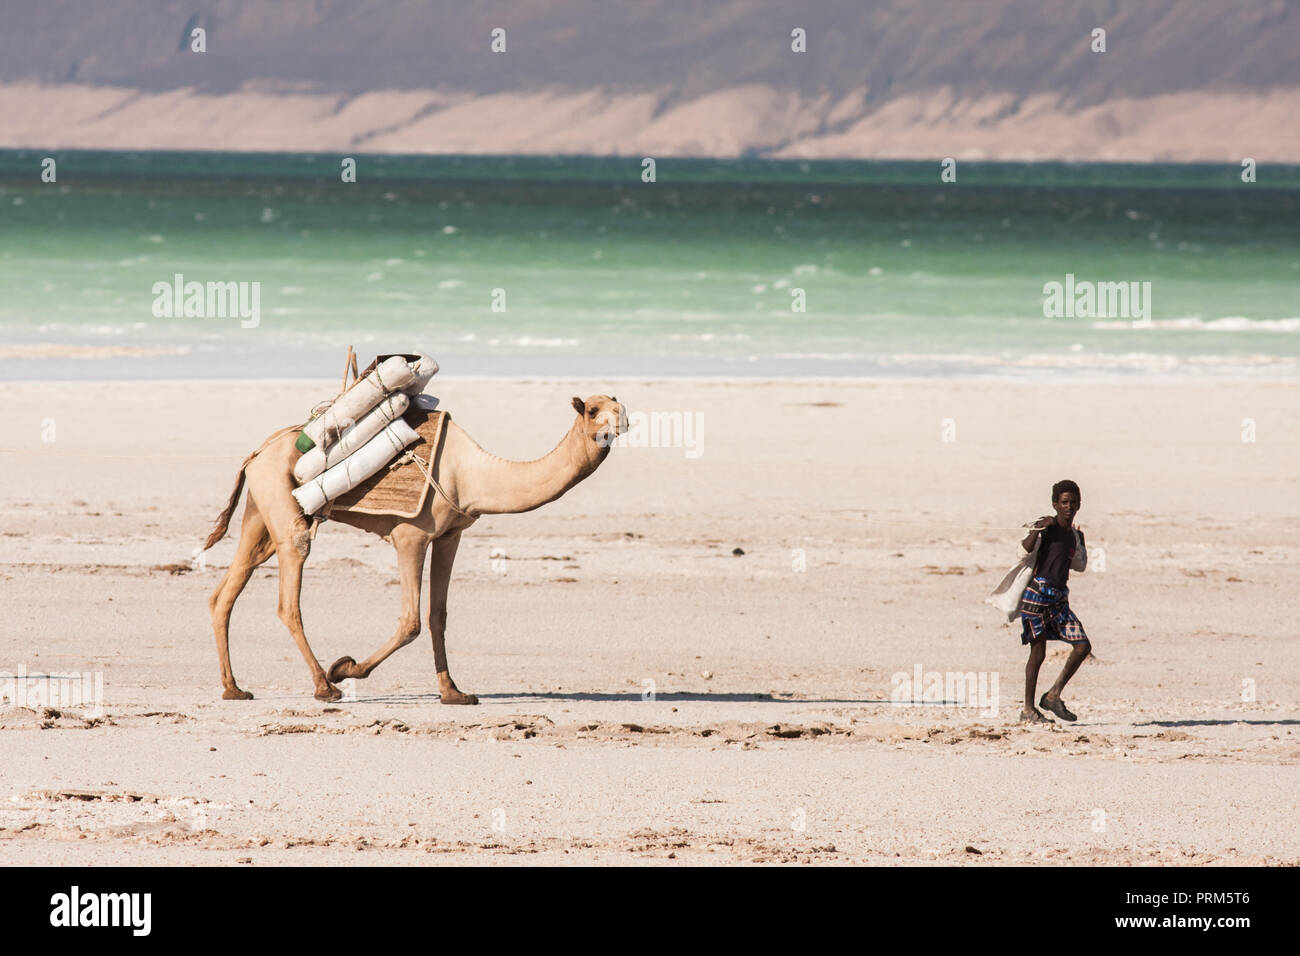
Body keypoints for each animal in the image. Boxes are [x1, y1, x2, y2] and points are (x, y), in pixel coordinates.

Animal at [201, 395, 624, 702]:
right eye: (593, 410)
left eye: (619, 405)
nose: (618, 424)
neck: (470, 474)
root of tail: (257, 453)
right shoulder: (410, 536)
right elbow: (411, 622)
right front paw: (347, 667)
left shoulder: (451, 536)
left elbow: (439, 615)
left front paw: (454, 693)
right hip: (282, 504)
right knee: (290, 592)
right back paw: (325, 685)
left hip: (259, 511)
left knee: (227, 589)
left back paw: (233, 688)